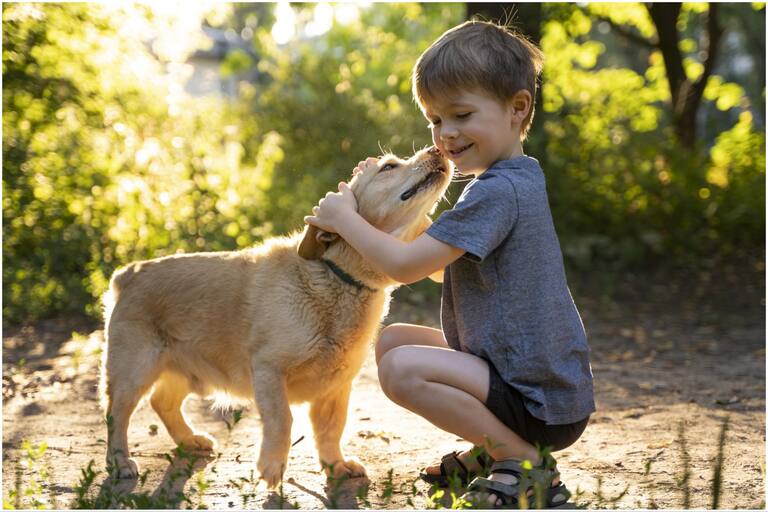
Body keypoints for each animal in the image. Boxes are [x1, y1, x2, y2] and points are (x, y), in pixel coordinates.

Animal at [100, 145, 452, 488]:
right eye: (388, 166)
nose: (438, 149)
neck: (336, 277)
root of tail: (129, 273)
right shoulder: (269, 370)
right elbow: (283, 420)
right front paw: (271, 466)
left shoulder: (336, 386)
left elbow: (331, 429)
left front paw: (335, 465)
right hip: (134, 372)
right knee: (116, 415)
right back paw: (120, 462)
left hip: (187, 372)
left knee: (163, 403)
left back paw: (189, 440)